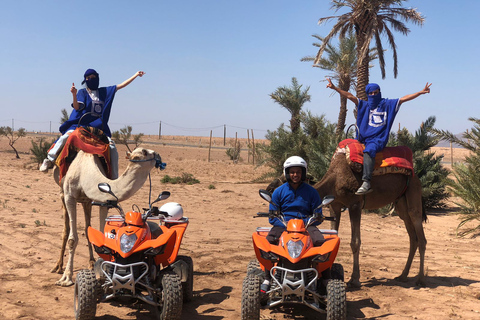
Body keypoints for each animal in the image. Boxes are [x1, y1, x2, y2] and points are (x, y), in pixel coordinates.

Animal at [51, 146, 161, 286]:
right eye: (145, 152)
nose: (158, 155)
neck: (85, 172)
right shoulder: (70, 196)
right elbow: (72, 239)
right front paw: (66, 278)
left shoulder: (103, 200)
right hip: (63, 194)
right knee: (66, 230)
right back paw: (58, 267)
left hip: (86, 201)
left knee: (87, 227)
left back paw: (91, 262)